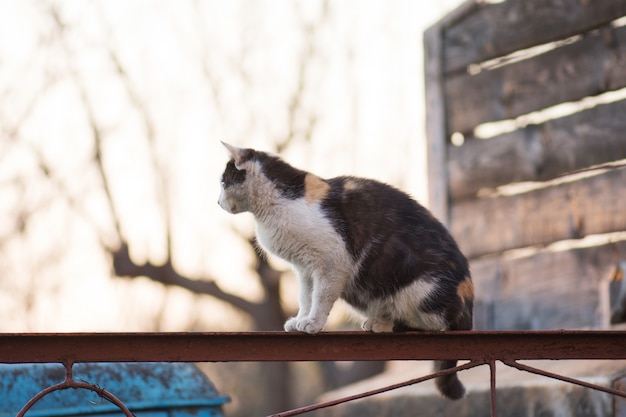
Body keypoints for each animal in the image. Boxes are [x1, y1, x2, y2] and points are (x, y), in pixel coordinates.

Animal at [217, 143, 470, 400]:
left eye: (223, 182)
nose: (217, 203)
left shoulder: (332, 260)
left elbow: (320, 297)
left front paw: (313, 323)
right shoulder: (304, 269)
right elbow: (305, 297)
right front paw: (300, 319)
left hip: (420, 288)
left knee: (436, 326)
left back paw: (384, 325)